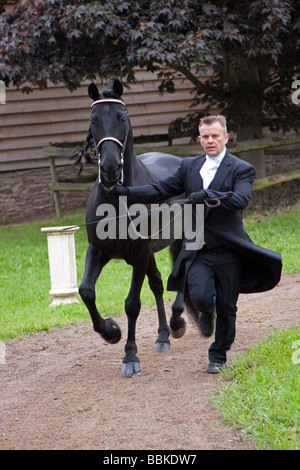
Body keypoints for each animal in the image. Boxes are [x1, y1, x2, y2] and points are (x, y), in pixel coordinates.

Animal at [77, 79, 188, 376]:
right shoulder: (98, 250)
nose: (111, 168)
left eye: (122, 117)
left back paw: (178, 323)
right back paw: (163, 336)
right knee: (158, 284)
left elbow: (132, 304)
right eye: (92, 120)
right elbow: (86, 291)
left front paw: (130, 357)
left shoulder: (139, 252)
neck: (117, 198)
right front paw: (111, 331)